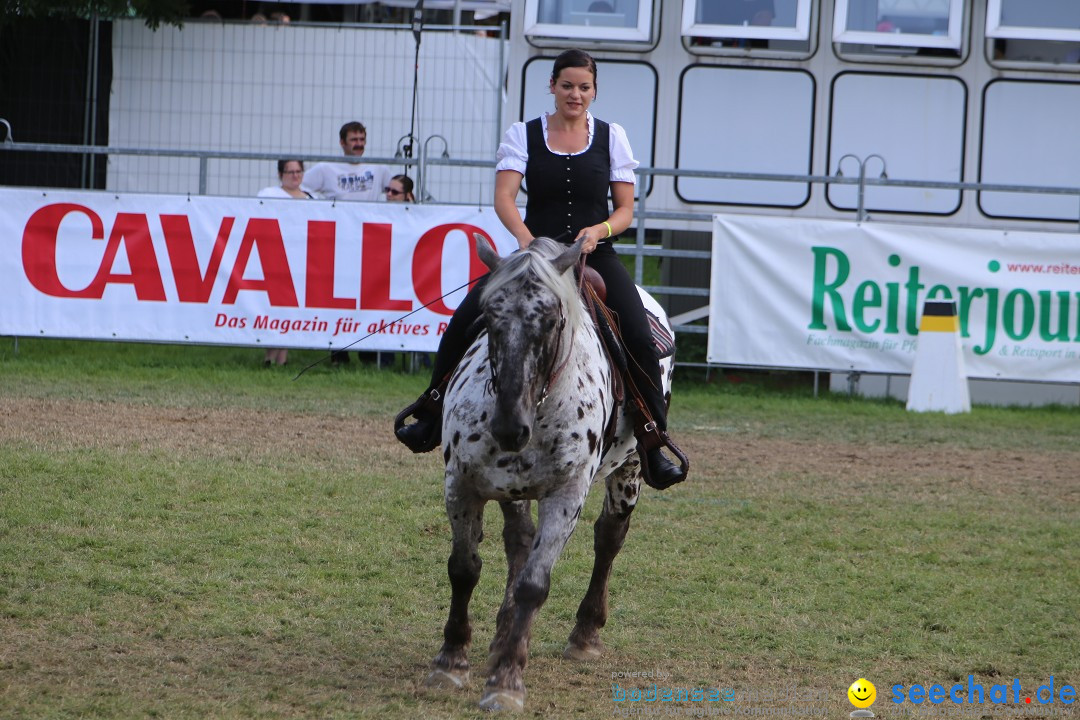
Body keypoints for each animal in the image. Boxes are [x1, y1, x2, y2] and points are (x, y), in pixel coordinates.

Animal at [423, 235, 669, 708]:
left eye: (553, 320)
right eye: (487, 316)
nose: (509, 427)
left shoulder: (566, 496)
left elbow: (533, 585)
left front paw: (506, 682)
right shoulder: (460, 484)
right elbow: (464, 568)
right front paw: (451, 661)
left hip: (630, 467)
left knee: (609, 538)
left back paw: (585, 634)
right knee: (518, 542)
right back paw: (503, 635)